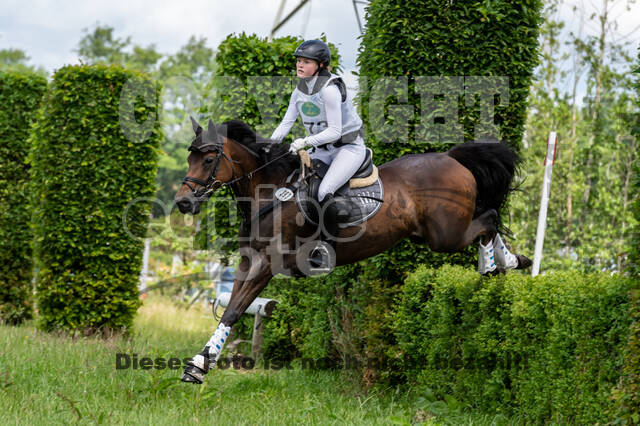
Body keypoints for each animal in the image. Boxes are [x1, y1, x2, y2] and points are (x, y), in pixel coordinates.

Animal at [174, 117, 531, 384]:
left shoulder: (269, 264)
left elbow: (235, 310)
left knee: (489, 217)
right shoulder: (250, 261)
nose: (183, 203)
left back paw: (492, 266)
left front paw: (199, 366)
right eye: (190, 158)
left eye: (208, 159)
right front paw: (199, 364)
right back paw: (513, 261)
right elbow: (231, 308)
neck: (270, 194)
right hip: (429, 234)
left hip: (445, 235)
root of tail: (451, 158)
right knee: (488, 217)